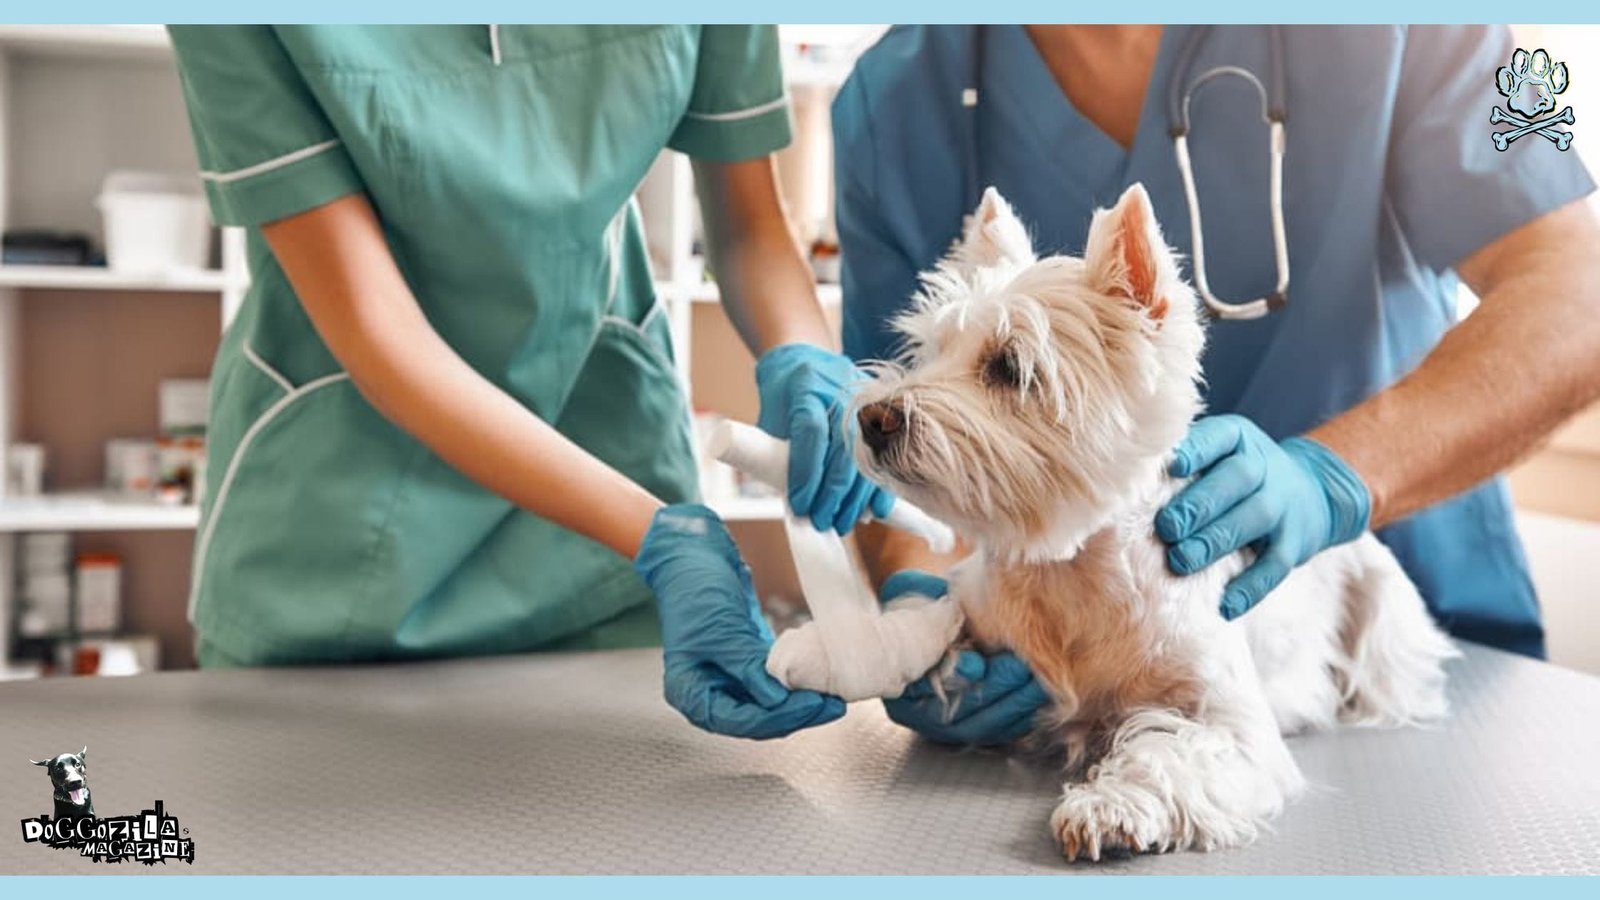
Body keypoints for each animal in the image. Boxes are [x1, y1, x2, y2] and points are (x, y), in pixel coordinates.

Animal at [857, 185, 1459, 858]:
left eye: (1010, 367)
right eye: (932, 351)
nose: (873, 418)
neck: (1069, 577)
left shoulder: (1231, 724)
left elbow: (1171, 756)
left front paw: (1107, 807)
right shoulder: (978, 608)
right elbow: (930, 623)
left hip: (1382, 615)